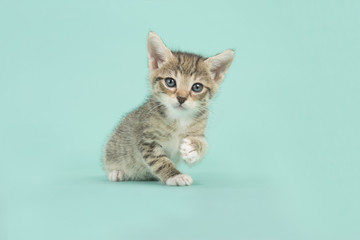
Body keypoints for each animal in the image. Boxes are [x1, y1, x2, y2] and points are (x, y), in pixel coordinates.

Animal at [103, 32, 233, 186]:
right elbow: (160, 161)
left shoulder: (199, 128)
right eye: (170, 82)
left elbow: (204, 143)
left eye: (197, 87)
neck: (179, 118)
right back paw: (117, 173)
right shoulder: (148, 141)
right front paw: (176, 176)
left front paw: (193, 148)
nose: (181, 98)